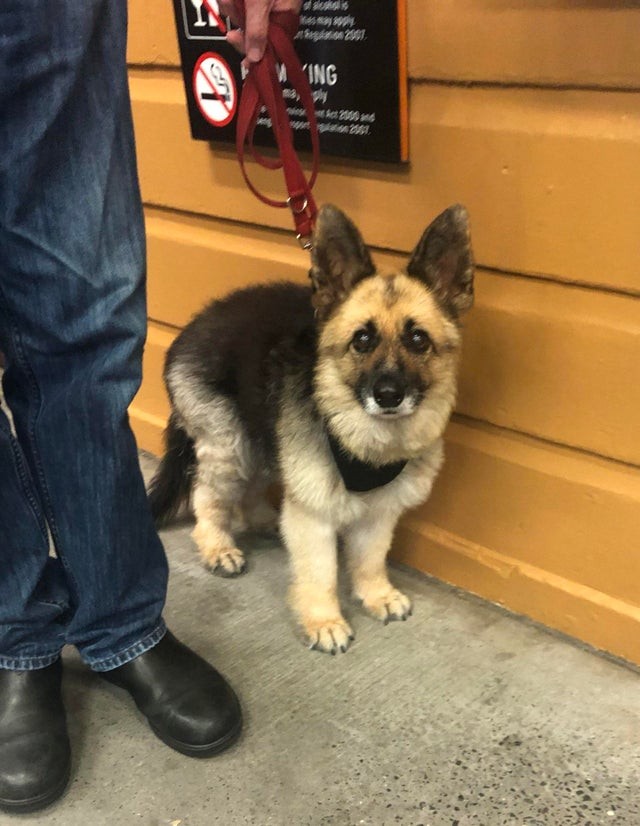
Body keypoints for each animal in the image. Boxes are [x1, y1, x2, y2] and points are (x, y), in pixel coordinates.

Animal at [148, 204, 472, 652]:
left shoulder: (378, 512)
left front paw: (376, 594)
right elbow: (320, 573)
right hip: (232, 448)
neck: (363, 444)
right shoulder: (315, 516)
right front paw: (323, 620)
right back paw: (217, 546)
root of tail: (193, 327)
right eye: (362, 340)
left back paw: (263, 520)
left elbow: (370, 558)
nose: (389, 395)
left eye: (418, 340)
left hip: (263, 440)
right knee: (207, 498)